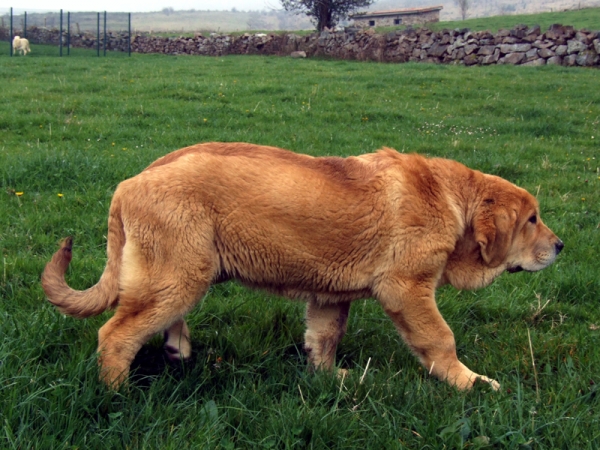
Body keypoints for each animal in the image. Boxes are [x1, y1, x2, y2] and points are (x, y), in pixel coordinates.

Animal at [42, 142, 564, 388]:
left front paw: (328, 378)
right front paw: (468, 383)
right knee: (115, 334)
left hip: (184, 270)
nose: (560, 246)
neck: (453, 200)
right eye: (532, 220)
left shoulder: (331, 295)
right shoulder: (408, 288)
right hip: (177, 274)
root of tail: (130, 181)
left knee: (155, 319)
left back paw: (177, 348)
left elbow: (324, 338)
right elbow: (440, 339)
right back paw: (117, 394)